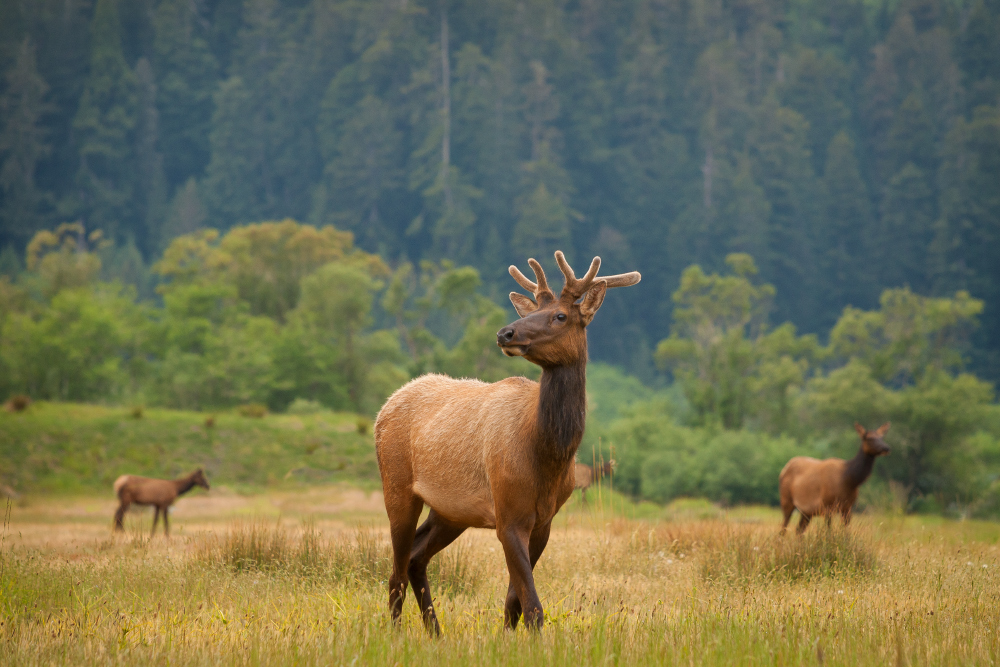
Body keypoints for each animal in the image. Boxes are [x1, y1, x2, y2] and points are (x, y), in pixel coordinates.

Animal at [376, 252, 640, 636]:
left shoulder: (544, 521)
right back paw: (396, 634)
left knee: (414, 558)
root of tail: (386, 405)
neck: (547, 456)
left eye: (560, 315)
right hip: (397, 485)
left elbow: (514, 602)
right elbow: (533, 606)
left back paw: (436, 633)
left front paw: (506, 638)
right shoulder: (508, 512)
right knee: (395, 569)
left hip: (450, 510)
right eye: (529, 312)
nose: (505, 333)